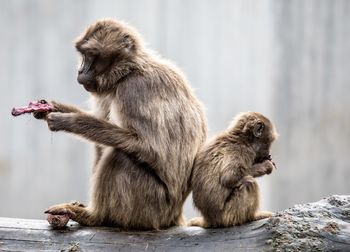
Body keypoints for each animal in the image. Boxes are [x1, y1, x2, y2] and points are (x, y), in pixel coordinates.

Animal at [38, 18, 208, 229]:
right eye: (83, 55)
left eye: (91, 56)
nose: (80, 70)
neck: (128, 71)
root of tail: (174, 215)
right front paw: (48, 108)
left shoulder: (134, 90)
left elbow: (149, 147)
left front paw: (70, 121)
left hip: (153, 206)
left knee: (120, 156)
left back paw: (94, 216)